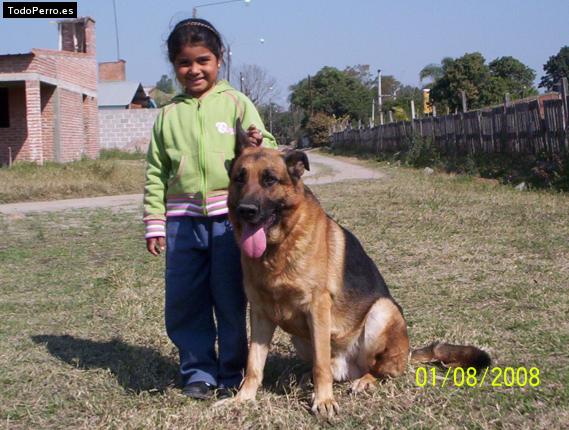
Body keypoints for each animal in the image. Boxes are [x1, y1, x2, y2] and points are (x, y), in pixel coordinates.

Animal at [224, 121, 490, 416]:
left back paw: (364, 380)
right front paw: (243, 399)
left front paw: (324, 400)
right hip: (301, 338)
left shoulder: (317, 308)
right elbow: (254, 364)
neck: (279, 247)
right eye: (239, 178)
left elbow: (320, 364)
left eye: (269, 179)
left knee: (379, 369)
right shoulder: (260, 313)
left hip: (382, 312)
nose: (246, 210)